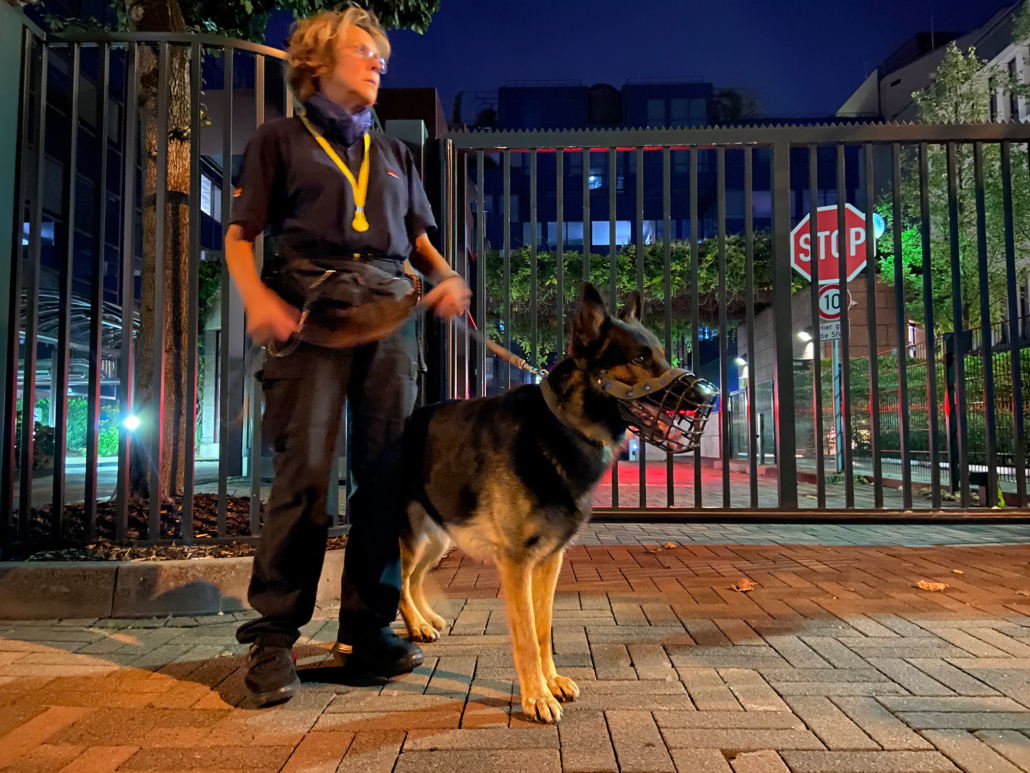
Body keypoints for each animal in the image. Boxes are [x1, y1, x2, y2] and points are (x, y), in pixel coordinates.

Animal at [397, 282, 688, 725]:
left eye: (660, 354)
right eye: (640, 358)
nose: (704, 395)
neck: (565, 425)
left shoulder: (550, 560)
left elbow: (543, 629)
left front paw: (550, 683)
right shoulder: (516, 562)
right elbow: (525, 635)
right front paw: (536, 696)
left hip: (439, 539)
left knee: (413, 579)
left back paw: (425, 620)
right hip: (407, 538)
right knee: (398, 580)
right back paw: (413, 625)